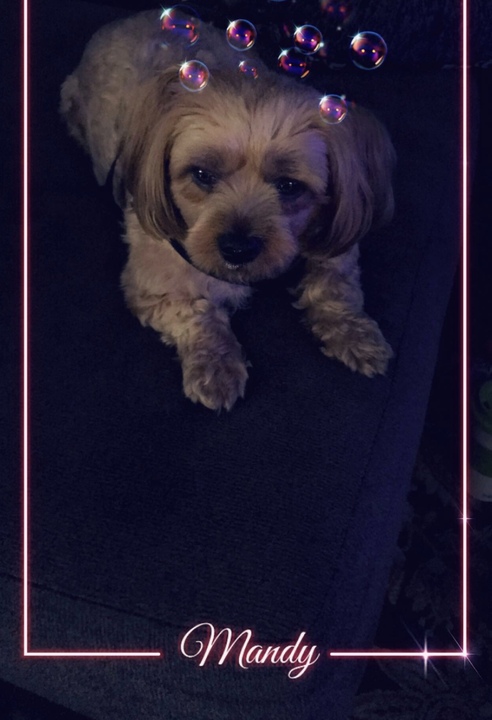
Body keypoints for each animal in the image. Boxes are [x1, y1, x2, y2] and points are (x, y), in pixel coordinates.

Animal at [60, 9, 395, 411]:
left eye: (289, 186)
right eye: (202, 175)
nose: (238, 249)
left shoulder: (335, 240)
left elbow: (335, 286)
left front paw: (354, 333)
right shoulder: (153, 284)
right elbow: (197, 313)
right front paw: (215, 365)